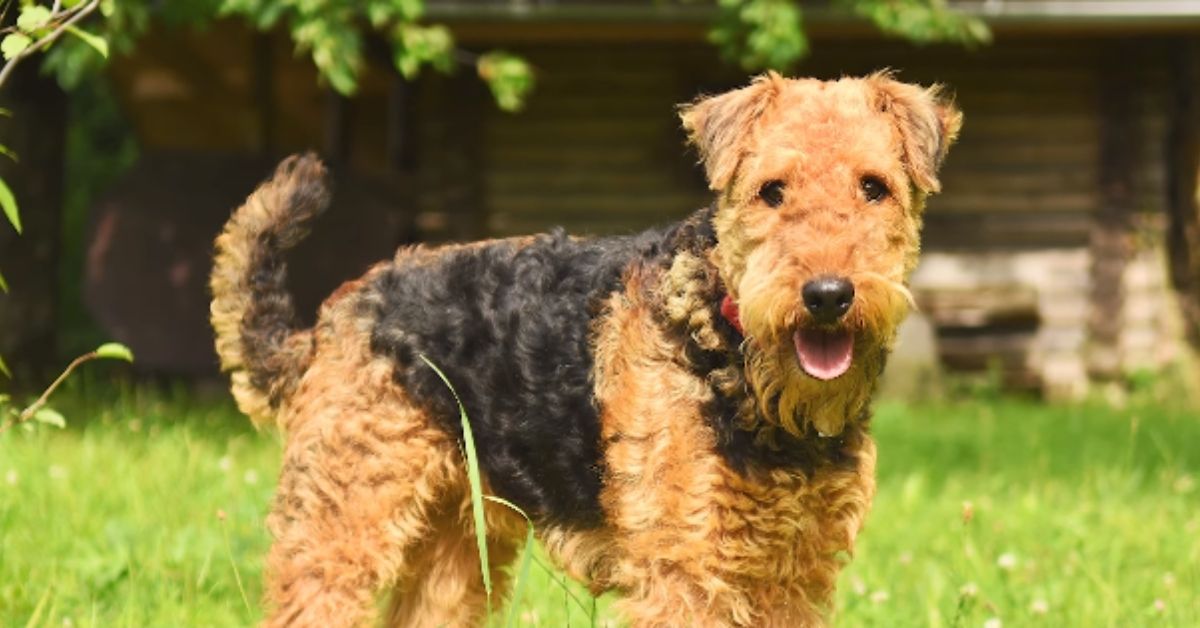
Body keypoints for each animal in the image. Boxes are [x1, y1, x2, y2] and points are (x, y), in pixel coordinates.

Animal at [211, 71, 960, 624]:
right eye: (772, 191)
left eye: (874, 187)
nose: (827, 295)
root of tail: (332, 317)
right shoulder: (685, 569)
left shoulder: (795, 570)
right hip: (344, 518)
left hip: (457, 541)